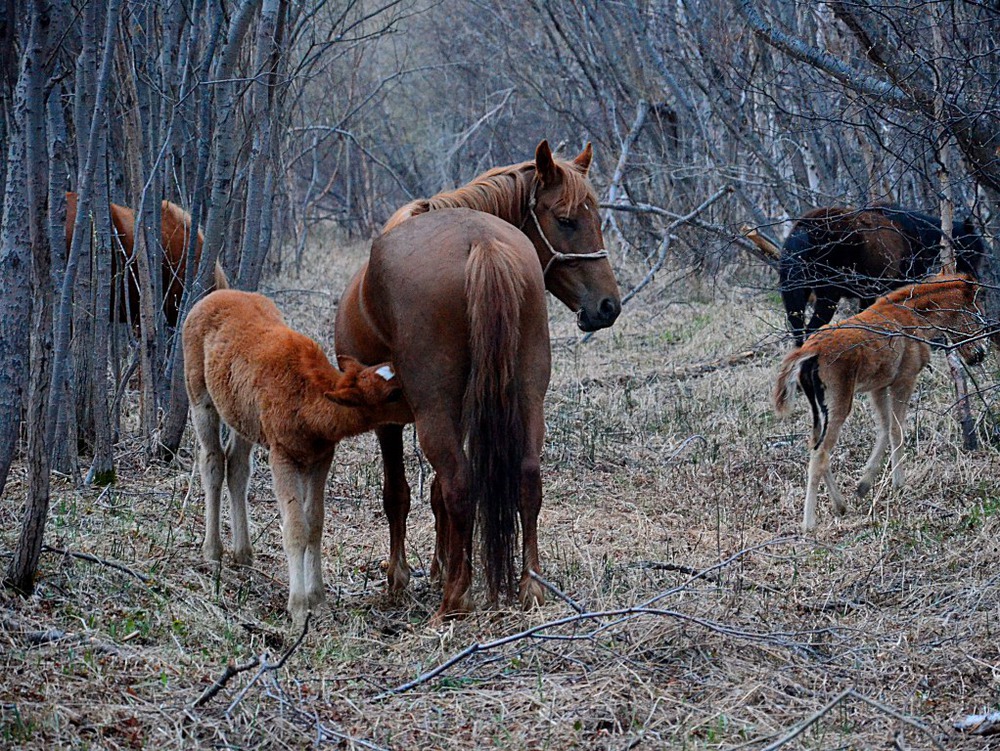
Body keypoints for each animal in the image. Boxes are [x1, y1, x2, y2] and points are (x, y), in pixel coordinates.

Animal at [186, 268, 404, 624]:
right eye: (392, 394)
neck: (310, 397)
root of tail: (218, 292)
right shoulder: (283, 456)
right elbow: (295, 528)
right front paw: (299, 606)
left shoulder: (321, 457)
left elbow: (315, 522)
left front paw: (319, 598)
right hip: (201, 398)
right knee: (213, 461)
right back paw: (212, 551)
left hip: (242, 417)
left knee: (237, 466)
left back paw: (243, 553)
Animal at [334, 141, 616, 624]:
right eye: (566, 220)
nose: (608, 306)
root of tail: (480, 243)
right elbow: (434, 495)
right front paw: (439, 565)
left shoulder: (392, 421)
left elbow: (399, 494)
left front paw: (400, 578)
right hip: (527, 394)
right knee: (526, 477)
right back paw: (528, 586)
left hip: (436, 410)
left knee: (460, 484)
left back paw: (455, 600)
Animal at [772, 276, 984, 536]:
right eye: (974, 312)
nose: (980, 354)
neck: (914, 315)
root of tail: (809, 350)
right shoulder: (904, 380)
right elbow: (896, 429)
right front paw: (899, 484)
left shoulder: (879, 386)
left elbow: (883, 428)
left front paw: (863, 485)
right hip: (840, 404)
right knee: (821, 453)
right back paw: (809, 522)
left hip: (818, 408)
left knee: (815, 444)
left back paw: (840, 505)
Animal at [780, 206, 984, 346]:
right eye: (972, 250)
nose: (975, 278)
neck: (920, 236)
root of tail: (803, 231)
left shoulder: (868, 293)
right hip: (828, 294)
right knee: (811, 329)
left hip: (795, 291)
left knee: (798, 330)